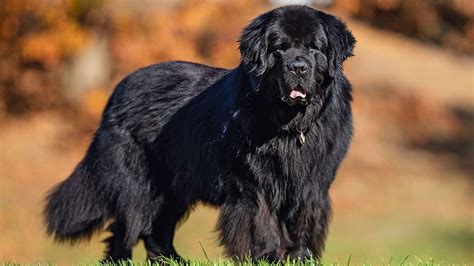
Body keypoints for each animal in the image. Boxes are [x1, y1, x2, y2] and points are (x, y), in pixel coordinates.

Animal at [45, 4, 356, 262]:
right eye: (279, 48)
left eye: (314, 48)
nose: (298, 67)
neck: (289, 126)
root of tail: (118, 90)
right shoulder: (253, 184)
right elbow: (262, 223)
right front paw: (269, 257)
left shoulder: (312, 183)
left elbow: (305, 222)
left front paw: (301, 258)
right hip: (137, 185)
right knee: (127, 227)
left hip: (173, 187)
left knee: (157, 228)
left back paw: (172, 261)